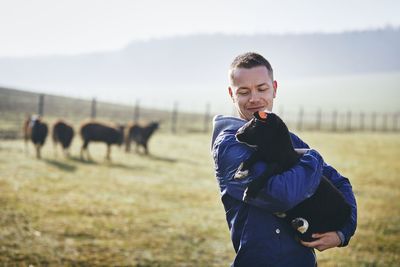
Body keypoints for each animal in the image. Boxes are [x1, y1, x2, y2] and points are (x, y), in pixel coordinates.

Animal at [234, 111, 350, 243]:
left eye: (254, 124)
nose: (237, 134)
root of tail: (347, 209)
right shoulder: (262, 153)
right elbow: (251, 158)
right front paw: (240, 172)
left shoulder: (281, 164)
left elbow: (270, 169)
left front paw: (249, 191)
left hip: (328, 219)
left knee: (309, 234)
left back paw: (299, 223)